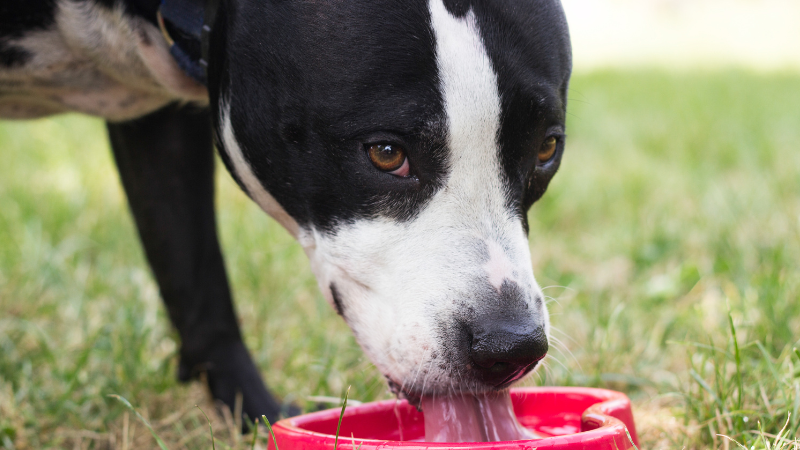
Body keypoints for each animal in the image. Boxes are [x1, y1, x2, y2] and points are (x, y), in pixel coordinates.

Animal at [1, 0, 576, 426]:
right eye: (386, 154)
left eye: (546, 150)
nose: (511, 347)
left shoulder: (165, 128)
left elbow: (194, 274)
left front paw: (254, 416)